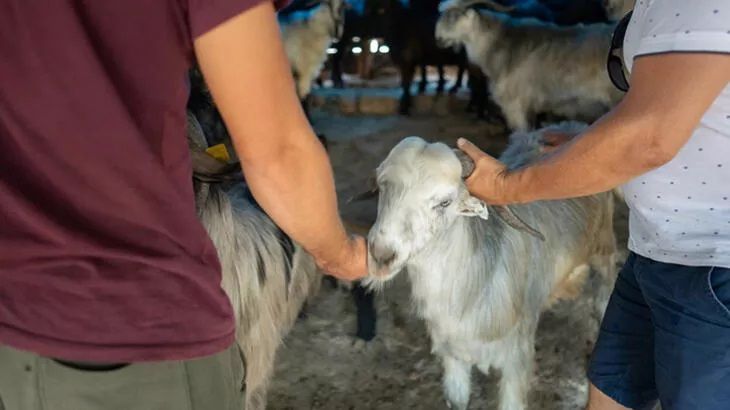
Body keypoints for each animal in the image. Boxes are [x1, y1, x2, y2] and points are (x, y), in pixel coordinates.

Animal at [364, 121, 616, 410]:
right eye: (382, 187)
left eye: (444, 202)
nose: (381, 255)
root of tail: (573, 125)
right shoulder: (453, 359)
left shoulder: (516, 361)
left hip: (604, 250)